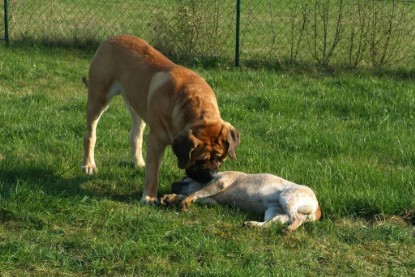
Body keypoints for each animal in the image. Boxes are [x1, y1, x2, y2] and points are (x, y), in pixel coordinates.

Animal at [82, 34, 240, 203]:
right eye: (199, 160)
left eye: (220, 159)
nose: (211, 176)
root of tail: (112, 38)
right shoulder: (156, 140)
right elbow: (153, 172)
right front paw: (149, 197)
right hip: (98, 97)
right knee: (90, 134)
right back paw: (88, 165)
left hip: (136, 104)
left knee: (135, 135)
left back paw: (138, 162)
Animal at [161, 170, 324, 233]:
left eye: (184, 179)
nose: (172, 184)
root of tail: (318, 208)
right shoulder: (210, 199)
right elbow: (192, 195)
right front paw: (170, 197)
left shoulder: (220, 183)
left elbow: (194, 193)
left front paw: (182, 200)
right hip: (274, 212)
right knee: (270, 224)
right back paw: (252, 224)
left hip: (286, 197)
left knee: (296, 219)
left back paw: (289, 230)